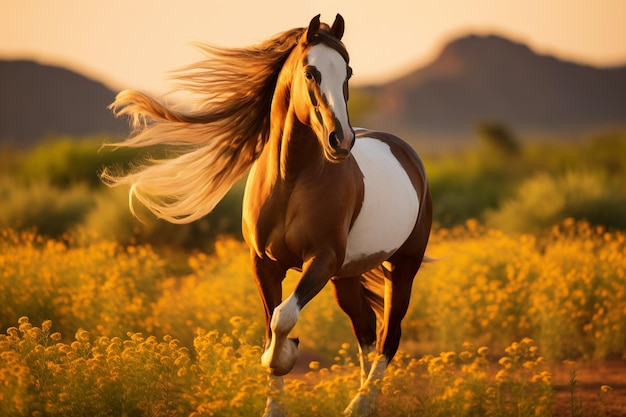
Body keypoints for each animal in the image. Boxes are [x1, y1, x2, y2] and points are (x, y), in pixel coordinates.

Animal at [103, 13, 428, 416]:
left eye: (348, 71)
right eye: (310, 72)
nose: (341, 140)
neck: (291, 180)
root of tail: (404, 151)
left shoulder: (320, 259)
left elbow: (283, 317)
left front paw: (285, 355)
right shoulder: (264, 263)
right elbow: (271, 322)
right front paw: (274, 393)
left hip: (402, 267)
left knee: (388, 338)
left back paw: (360, 404)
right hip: (347, 276)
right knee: (366, 332)